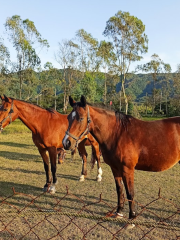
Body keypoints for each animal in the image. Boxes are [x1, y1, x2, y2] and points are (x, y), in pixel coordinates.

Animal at [63, 94, 180, 222]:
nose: (66, 143)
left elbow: (130, 193)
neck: (118, 133)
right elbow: (120, 190)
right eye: (68, 118)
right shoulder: (115, 168)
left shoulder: (127, 169)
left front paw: (132, 218)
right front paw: (119, 212)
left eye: (81, 118)